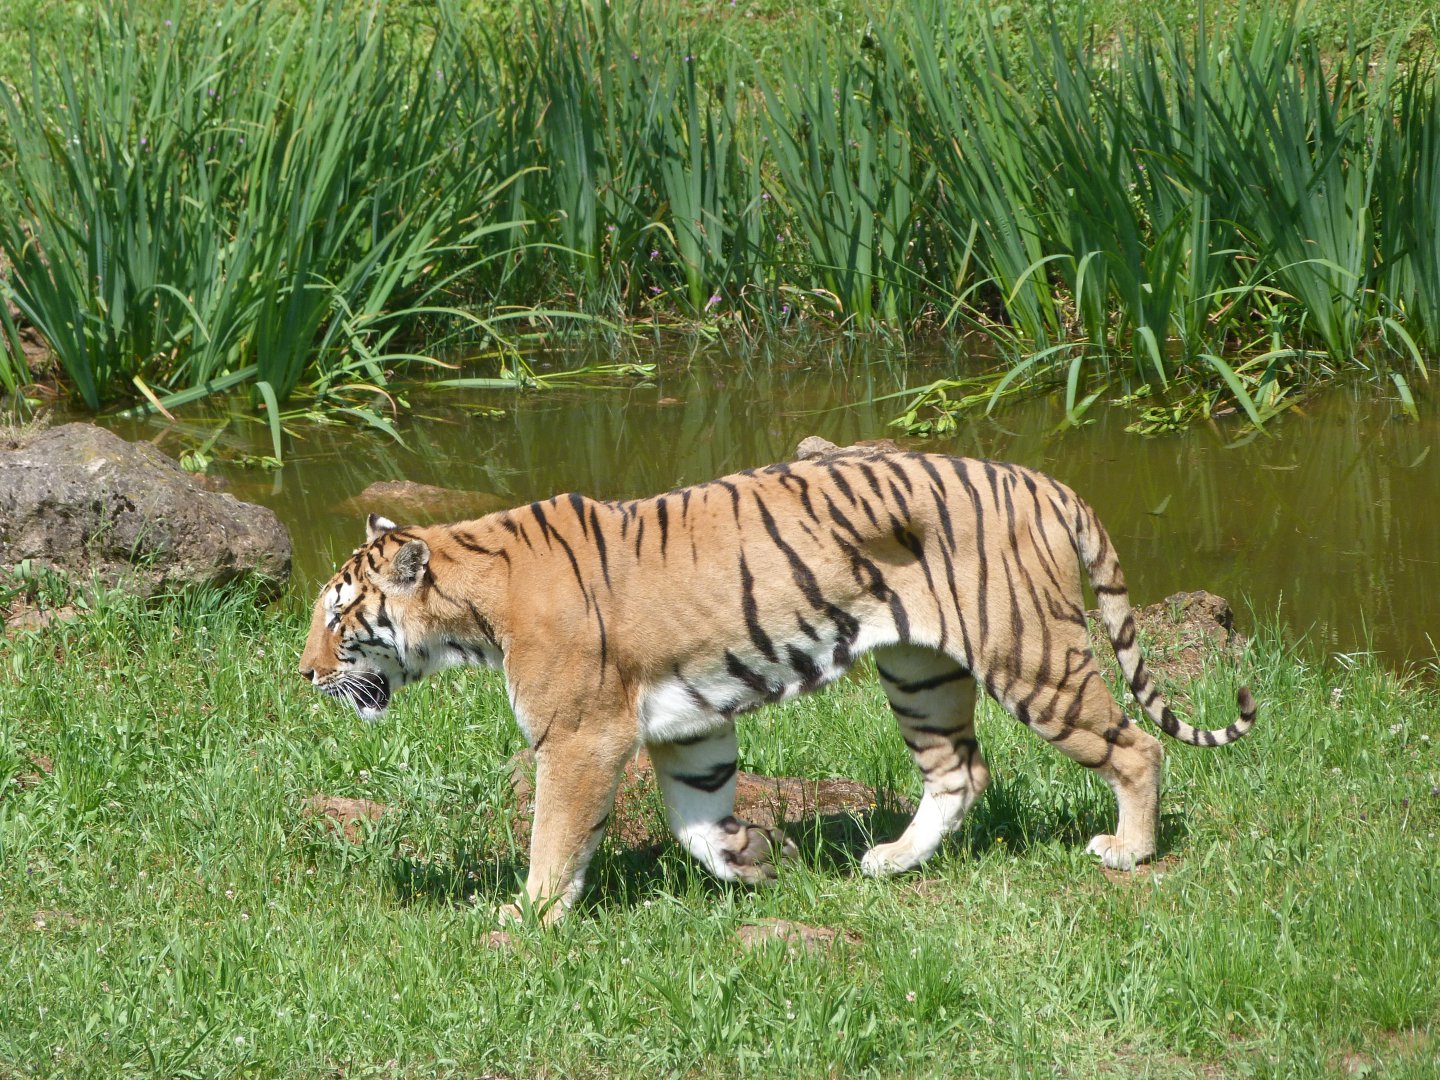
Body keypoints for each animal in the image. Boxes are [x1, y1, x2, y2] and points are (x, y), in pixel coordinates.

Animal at [299, 437, 1257, 922]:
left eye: (341, 619)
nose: (304, 673)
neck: (474, 604)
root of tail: (1049, 483)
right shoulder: (688, 725)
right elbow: (696, 820)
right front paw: (755, 859)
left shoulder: (577, 737)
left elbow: (555, 838)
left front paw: (525, 919)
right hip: (920, 671)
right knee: (960, 769)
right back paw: (893, 861)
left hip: (1029, 653)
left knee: (1134, 747)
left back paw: (1129, 850)